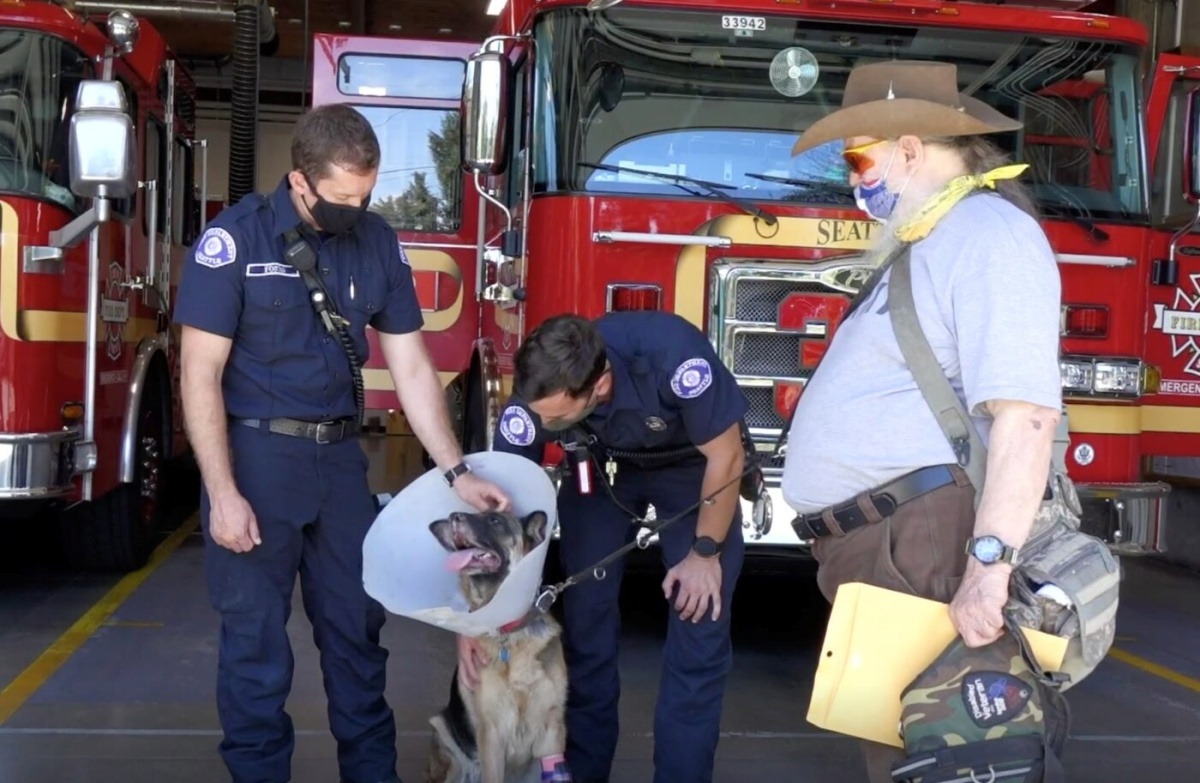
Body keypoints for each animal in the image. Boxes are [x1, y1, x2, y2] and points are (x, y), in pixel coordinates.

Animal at [424, 506, 568, 783]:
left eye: (495, 520)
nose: (454, 517)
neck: (510, 634)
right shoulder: (492, 734)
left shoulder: (552, 734)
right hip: (445, 740)